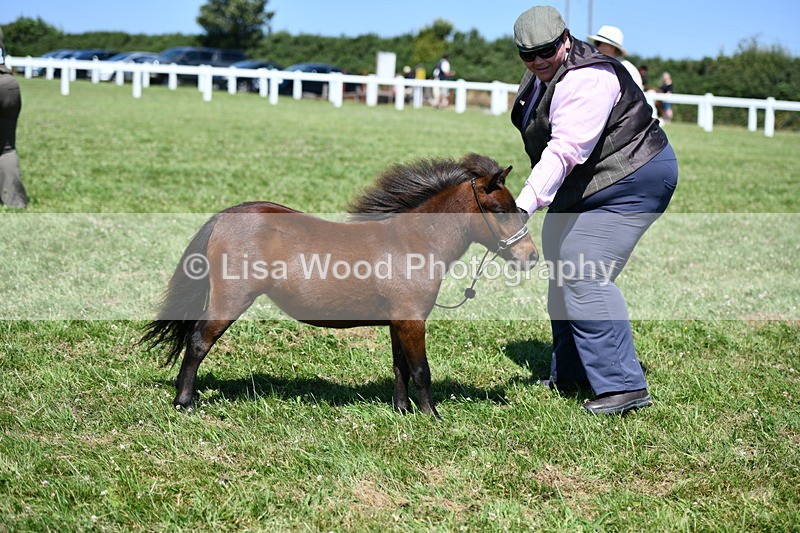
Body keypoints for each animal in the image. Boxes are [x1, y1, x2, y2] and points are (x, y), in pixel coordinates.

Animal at [141, 153, 539, 417]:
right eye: (500, 209)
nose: (531, 257)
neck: (415, 241)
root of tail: (227, 215)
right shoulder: (413, 320)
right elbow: (421, 370)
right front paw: (432, 416)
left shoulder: (398, 322)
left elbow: (400, 367)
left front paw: (402, 410)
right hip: (230, 301)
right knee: (197, 342)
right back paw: (184, 402)